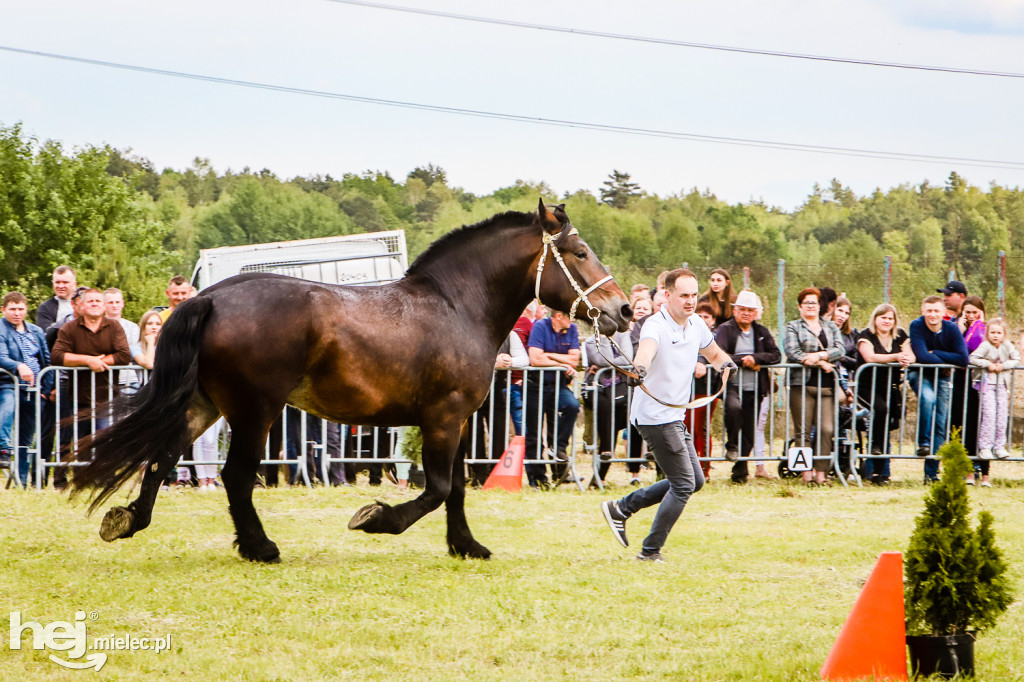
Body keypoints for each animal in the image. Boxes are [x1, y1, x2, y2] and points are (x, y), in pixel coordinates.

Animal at [68, 199, 630, 561]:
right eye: (580, 253)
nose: (623, 310)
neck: (457, 307)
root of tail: (209, 298)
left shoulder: (462, 421)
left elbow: (456, 489)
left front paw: (466, 546)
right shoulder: (444, 417)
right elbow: (438, 487)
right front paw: (376, 518)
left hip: (204, 404)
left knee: (161, 457)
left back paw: (128, 520)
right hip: (255, 411)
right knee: (233, 476)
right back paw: (260, 548)